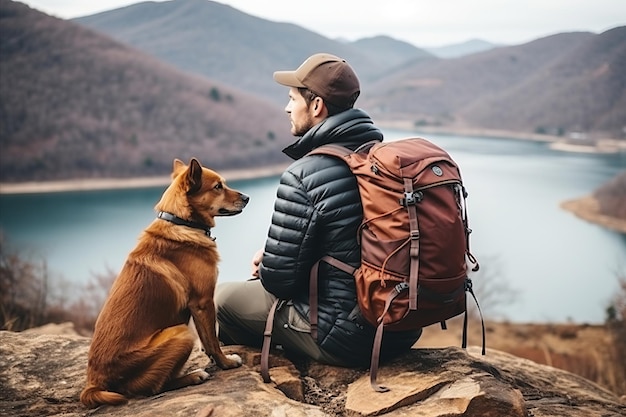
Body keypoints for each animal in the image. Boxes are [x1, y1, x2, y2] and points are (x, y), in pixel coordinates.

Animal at [80, 156, 249, 406]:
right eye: (218, 186)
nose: (247, 198)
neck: (182, 222)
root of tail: (95, 382)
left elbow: (207, 340)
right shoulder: (203, 302)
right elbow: (212, 341)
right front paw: (226, 363)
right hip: (181, 333)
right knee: (152, 388)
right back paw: (193, 376)